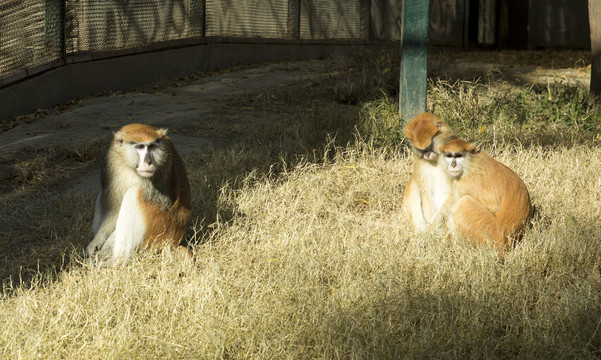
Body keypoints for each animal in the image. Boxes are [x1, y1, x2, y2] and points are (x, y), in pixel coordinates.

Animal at [85, 123, 190, 264]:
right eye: (140, 147)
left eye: (152, 147)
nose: (148, 162)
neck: (129, 165)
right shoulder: (111, 161)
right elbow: (113, 210)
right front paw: (95, 244)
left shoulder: (160, 171)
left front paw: (106, 248)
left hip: (160, 230)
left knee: (135, 192)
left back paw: (117, 260)